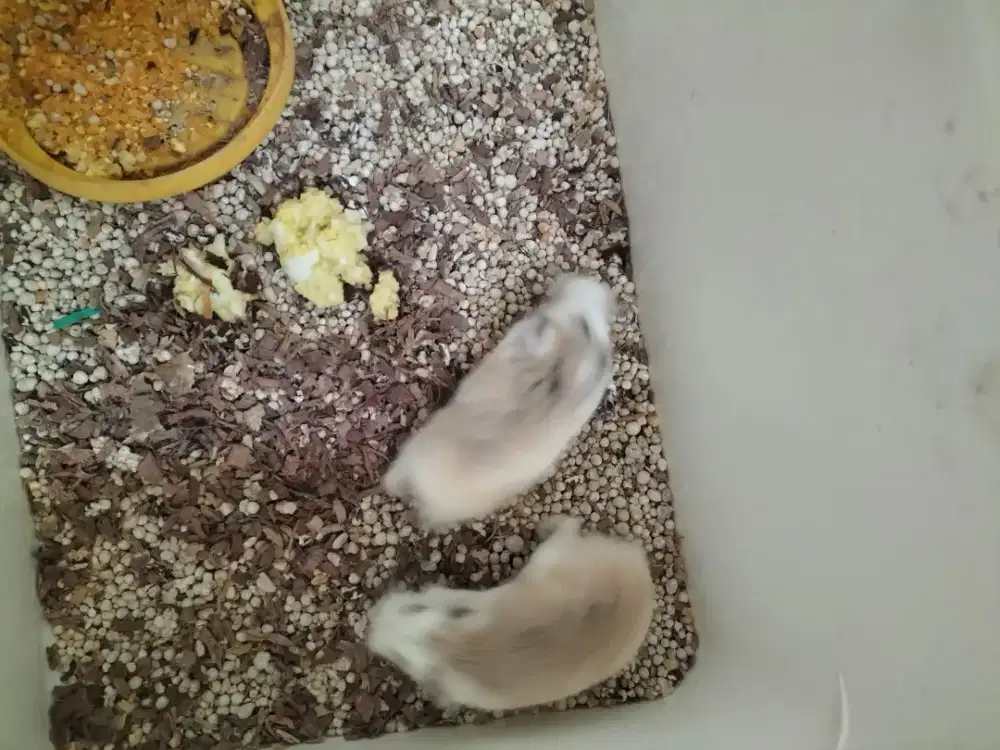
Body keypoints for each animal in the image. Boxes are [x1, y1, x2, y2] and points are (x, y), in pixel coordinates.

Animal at [366, 515, 654, 711]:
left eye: (398, 659)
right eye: (413, 608)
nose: (373, 620)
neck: (453, 648)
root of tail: (637, 560)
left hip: (549, 556)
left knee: (568, 525)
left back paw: (547, 524)